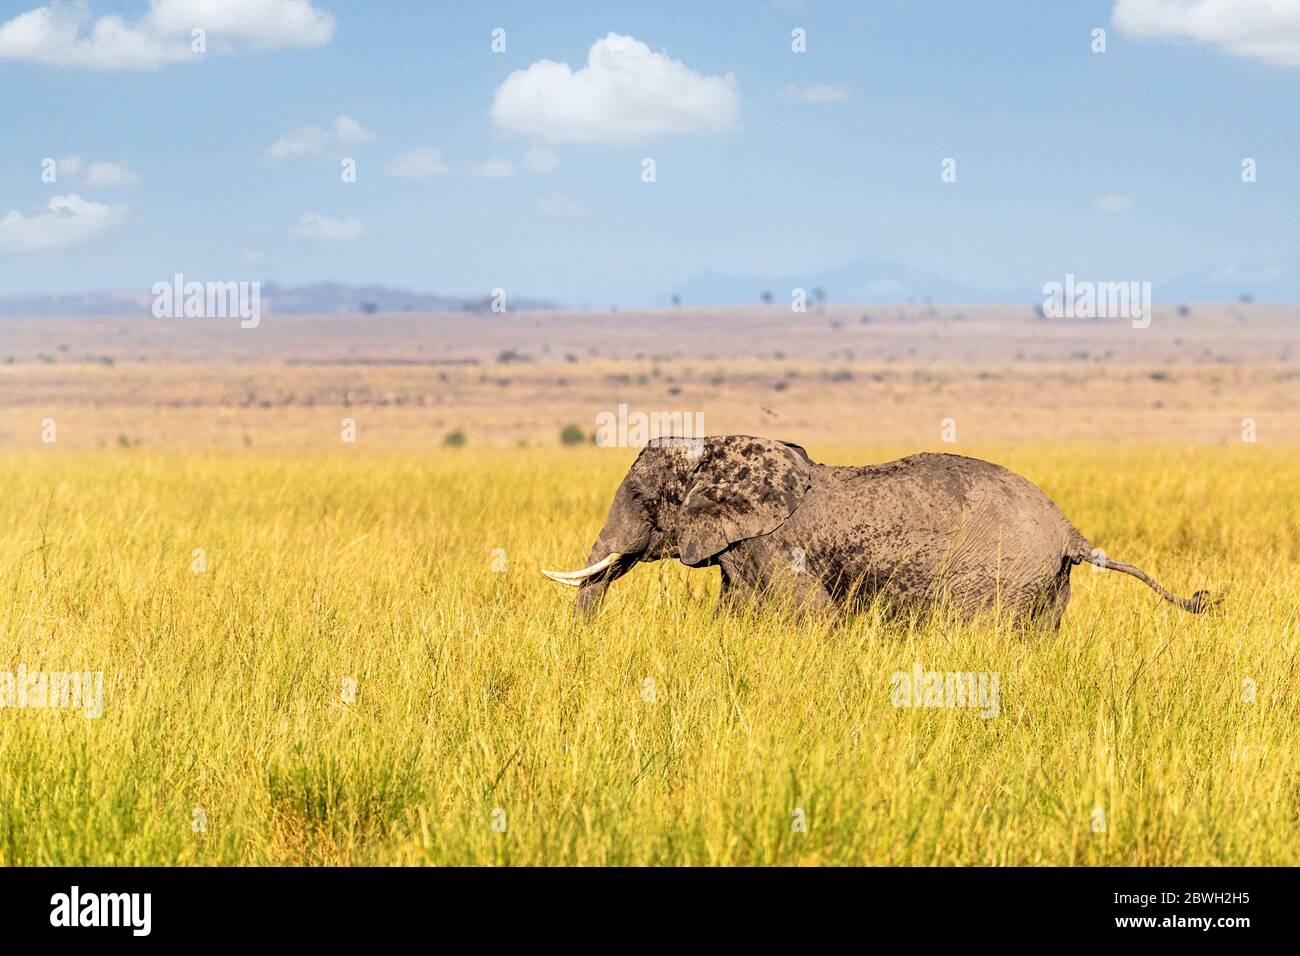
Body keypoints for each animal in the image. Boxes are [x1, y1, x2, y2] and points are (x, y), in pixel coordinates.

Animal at [540, 434, 1216, 629]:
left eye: (642, 500)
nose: (581, 645)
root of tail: (1070, 529)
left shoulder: (774, 548)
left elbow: (811, 619)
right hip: (1047, 584)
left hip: (1004, 573)